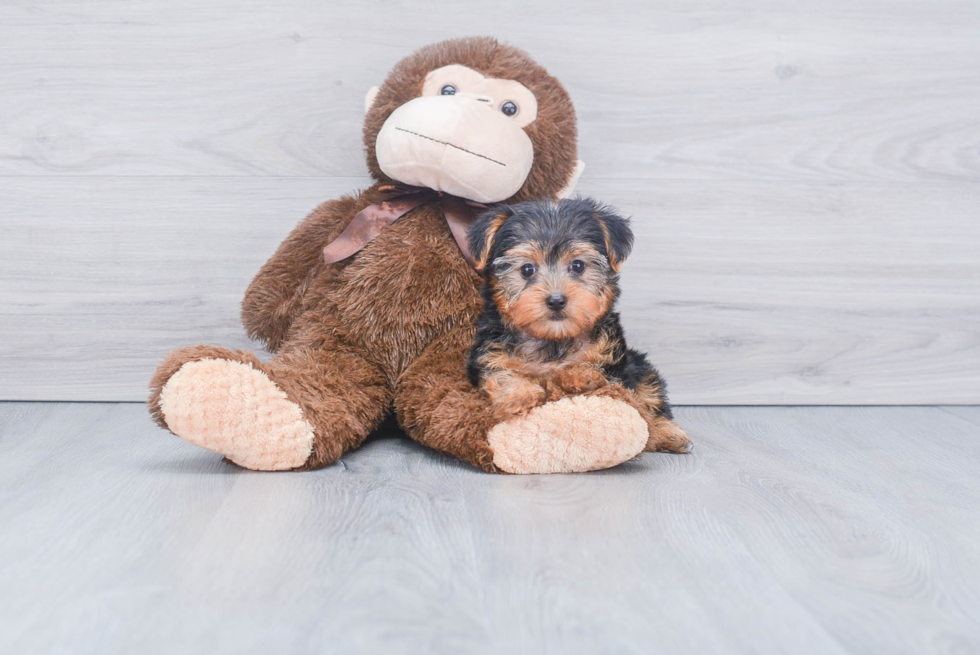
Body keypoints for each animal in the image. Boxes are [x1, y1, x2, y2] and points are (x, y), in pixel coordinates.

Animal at [468, 199, 688, 456]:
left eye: (578, 265)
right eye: (527, 269)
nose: (556, 300)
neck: (554, 339)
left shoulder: (613, 362)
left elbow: (602, 375)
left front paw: (580, 375)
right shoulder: (489, 353)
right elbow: (499, 373)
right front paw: (519, 394)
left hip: (639, 365)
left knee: (650, 394)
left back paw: (668, 433)